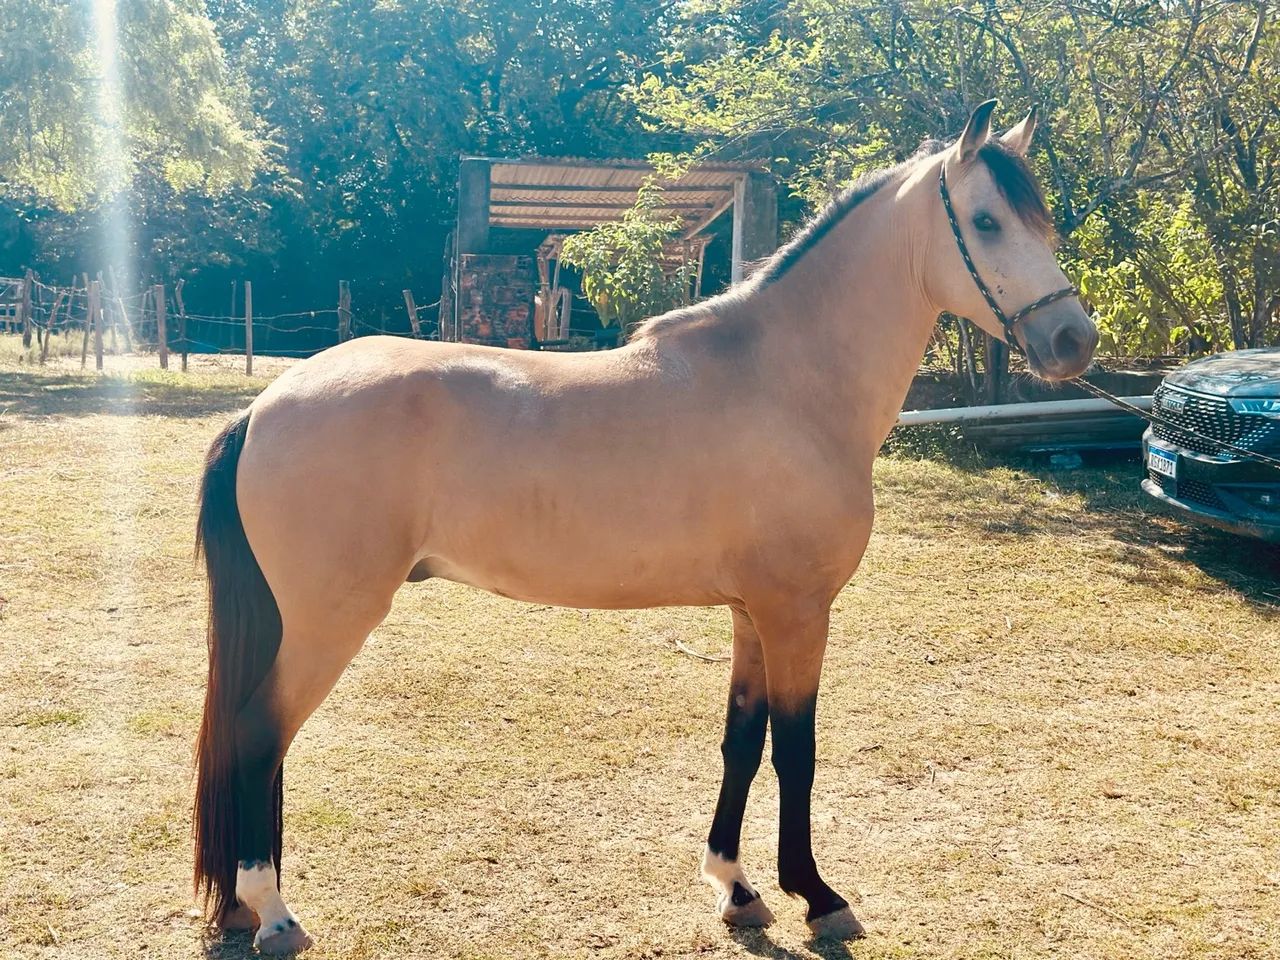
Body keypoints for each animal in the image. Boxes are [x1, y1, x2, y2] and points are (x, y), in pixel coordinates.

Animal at [193, 100, 1098, 954]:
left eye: (1041, 221)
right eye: (987, 220)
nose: (1073, 340)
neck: (786, 383)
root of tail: (265, 406)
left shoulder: (751, 615)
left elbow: (743, 740)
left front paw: (737, 888)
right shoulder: (798, 614)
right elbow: (796, 751)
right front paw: (818, 896)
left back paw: (243, 906)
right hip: (328, 621)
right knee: (258, 735)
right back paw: (275, 913)